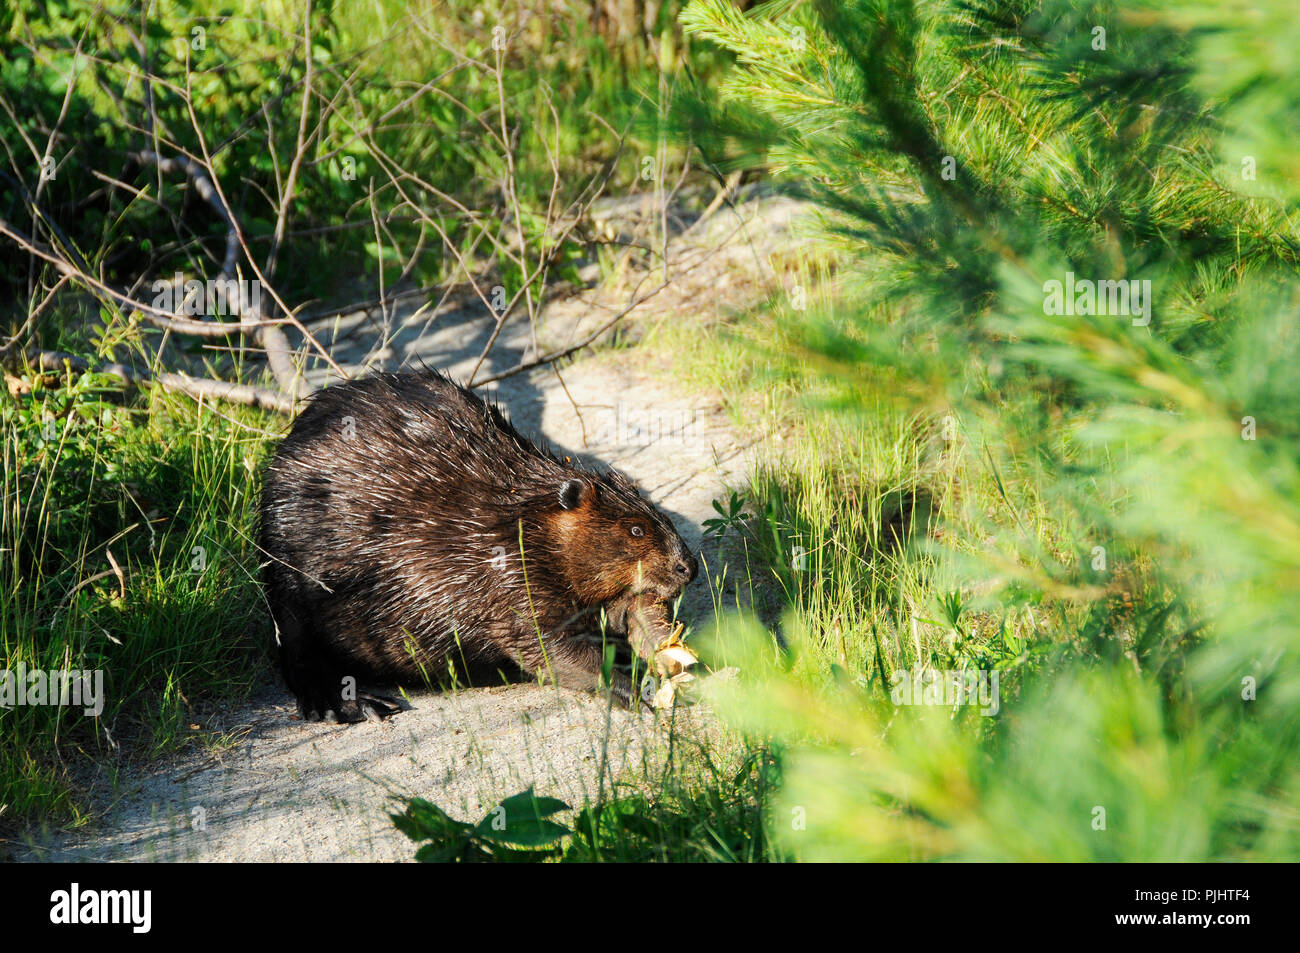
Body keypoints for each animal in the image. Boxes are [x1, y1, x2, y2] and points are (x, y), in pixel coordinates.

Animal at [257, 369, 696, 717]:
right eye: (636, 530)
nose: (687, 567)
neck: (523, 521)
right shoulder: (513, 580)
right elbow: (552, 649)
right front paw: (635, 691)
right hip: (290, 575)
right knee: (297, 649)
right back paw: (355, 704)